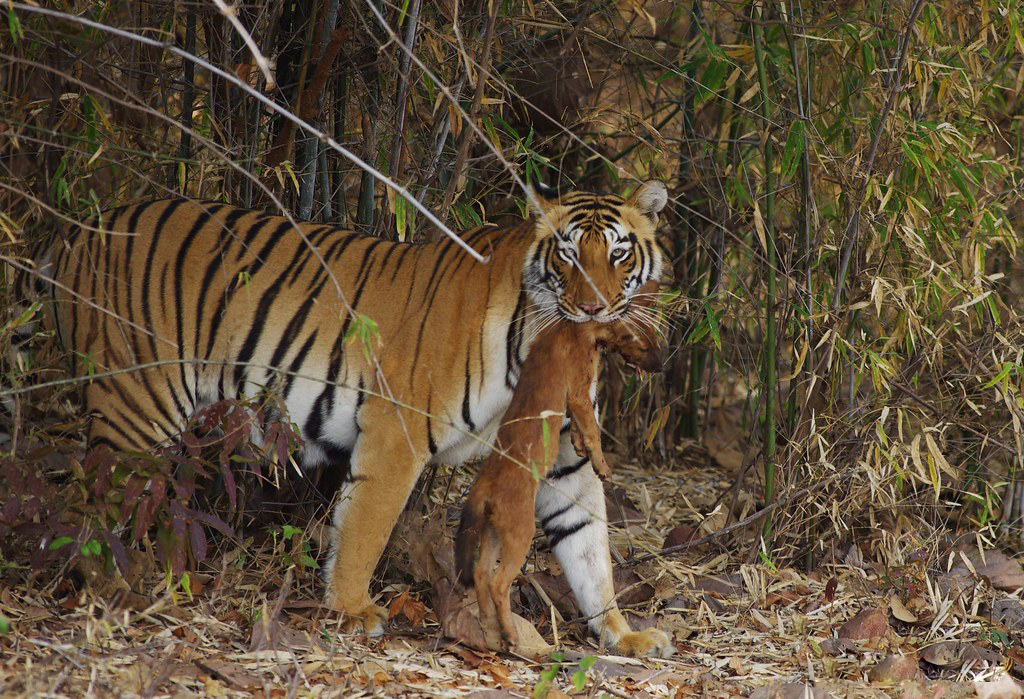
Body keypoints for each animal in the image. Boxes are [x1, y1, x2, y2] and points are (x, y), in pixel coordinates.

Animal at [25, 179, 671, 654]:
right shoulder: (397, 430)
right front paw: (353, 612)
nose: (593, 308)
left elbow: (590, 546)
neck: (533, 333)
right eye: (567, 252)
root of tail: (77, 230)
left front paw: (623, 634)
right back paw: (117, 594)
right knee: (91, 504)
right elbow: (364, 526)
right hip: (136, 401)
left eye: (617, 253)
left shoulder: (564, 456)